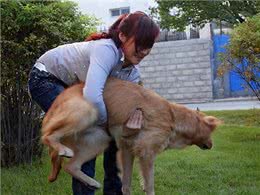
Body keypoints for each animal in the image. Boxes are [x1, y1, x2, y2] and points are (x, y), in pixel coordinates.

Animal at [41, 77, 220, 195]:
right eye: (211, 133)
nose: (212, 145)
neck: (173, 118)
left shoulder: (127, 150)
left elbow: (126, 184)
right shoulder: (146, 154)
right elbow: (149, 185)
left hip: (100, 140)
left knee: (71, 166)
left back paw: (91, 182)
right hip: (87, 110)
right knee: (47, 135)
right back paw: (61, 148)